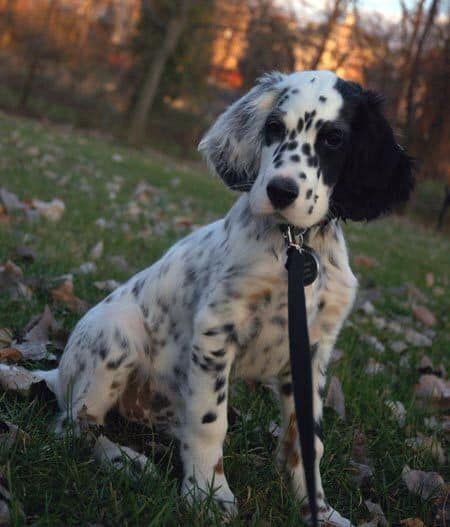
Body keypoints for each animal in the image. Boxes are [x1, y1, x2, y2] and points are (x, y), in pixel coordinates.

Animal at [44, 71, 414, 527]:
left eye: (333, 139)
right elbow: (209, 423)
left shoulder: (313, 350)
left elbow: (307, 441)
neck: (296, 246)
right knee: (76, 424)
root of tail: (55, 375)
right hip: (115, 334)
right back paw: (124, 461)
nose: (279, 190)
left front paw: (319, 510)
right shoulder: (216, 329)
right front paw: (208, 495)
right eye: (273, 127)